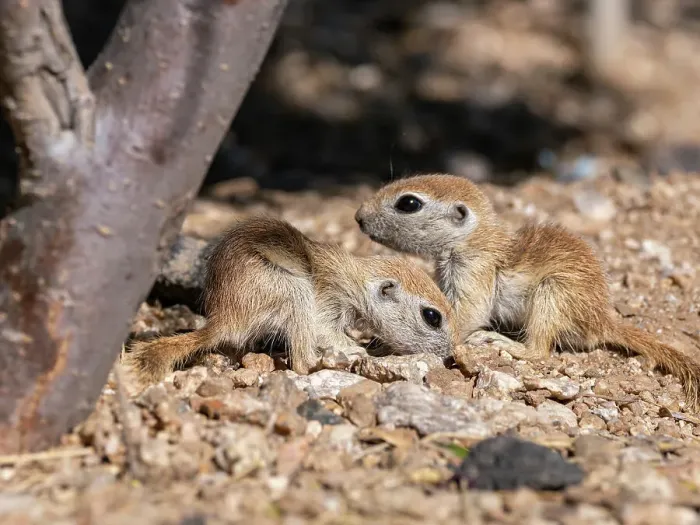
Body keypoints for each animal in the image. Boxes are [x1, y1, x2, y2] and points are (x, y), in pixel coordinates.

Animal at [125, 215, 457, 385]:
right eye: (432, 316)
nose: (450, 355)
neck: (357, 281)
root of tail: (222, 320)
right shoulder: (328, 303)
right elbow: (327, 332)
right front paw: (360, 350)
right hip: (293, 292)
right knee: (300, 363)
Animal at [355, 173, 700, 409]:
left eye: (408, 203)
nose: (358, 216)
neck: (474, 238)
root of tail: (603, 321)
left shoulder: (474, 270)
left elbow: (468, 314)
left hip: (552, 292)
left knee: (540, 351)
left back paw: (502, 343)